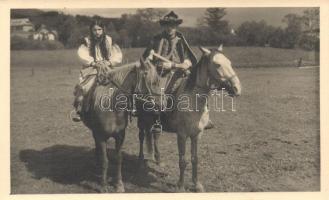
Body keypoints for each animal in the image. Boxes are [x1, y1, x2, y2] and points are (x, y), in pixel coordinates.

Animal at [136, 46, 241, 192]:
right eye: (217, 64)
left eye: (229, 63)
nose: (237, 88)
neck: (194, 103)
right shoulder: (182, 135)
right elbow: (182, 160)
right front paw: (180, 185)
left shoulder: (196, 135)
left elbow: (194, 159)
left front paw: (196, 184)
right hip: (141, 120)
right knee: (141, 137)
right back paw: (140, 161)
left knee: (155, 137)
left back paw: (158, 160)